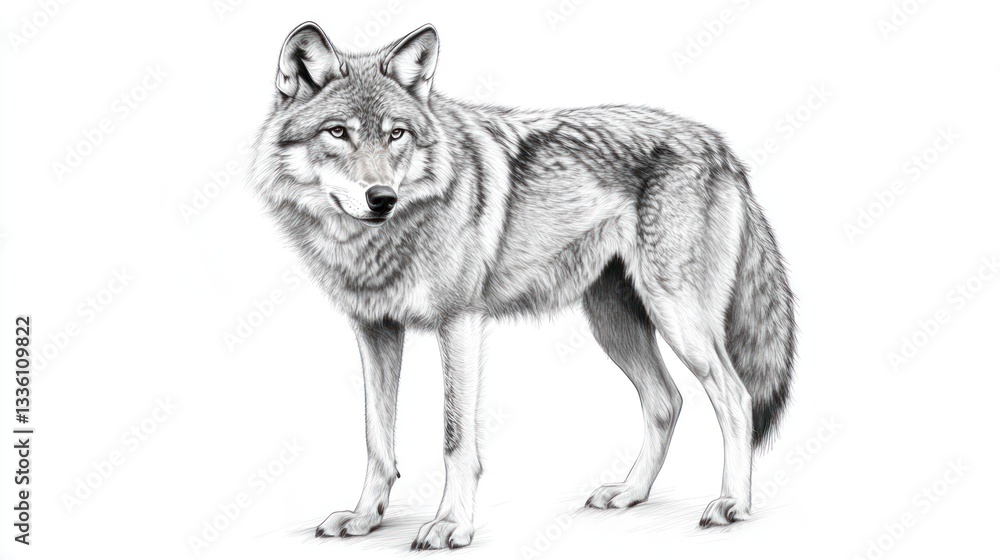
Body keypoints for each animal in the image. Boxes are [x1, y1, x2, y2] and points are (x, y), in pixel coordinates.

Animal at [250, 22, 796, 550]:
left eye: (396, 134)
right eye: (338, 132)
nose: (382, 198)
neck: (379, 242)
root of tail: (721, 147)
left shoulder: (460, 323)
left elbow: (455, 439)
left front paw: (452, 525)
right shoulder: (374, 329)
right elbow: (376, 439)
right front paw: (365, 518)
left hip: (678, 319)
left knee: (736, 397)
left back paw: (732, 504)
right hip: (614, 324)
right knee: (666, 401)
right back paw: (630, 493)